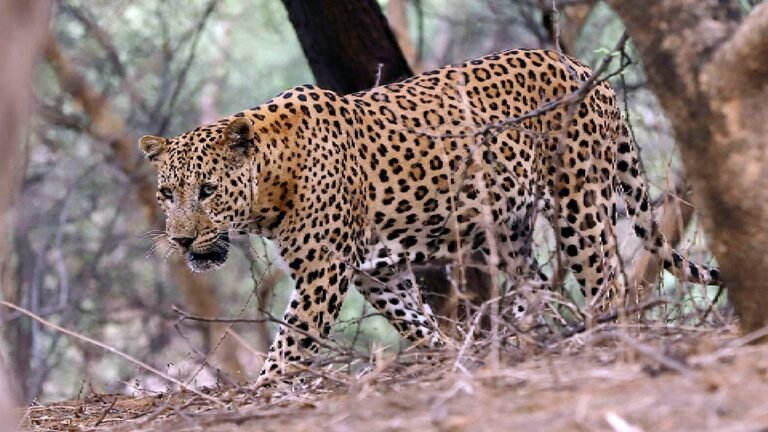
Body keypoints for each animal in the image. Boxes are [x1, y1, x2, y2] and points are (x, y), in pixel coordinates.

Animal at [138, 48, 721, 385]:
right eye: (167, 194)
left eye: (208, 191)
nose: (183, 242)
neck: (270, 184)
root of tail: (585, 71)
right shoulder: (377, 272)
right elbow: (415, 323)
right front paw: (446, 358)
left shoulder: (325, 271)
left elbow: (290, 347)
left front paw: (266, 394)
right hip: (507, 227)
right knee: (537, 286)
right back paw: (528, 339)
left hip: (577, 201)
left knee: (606, 281)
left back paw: (601, 341)